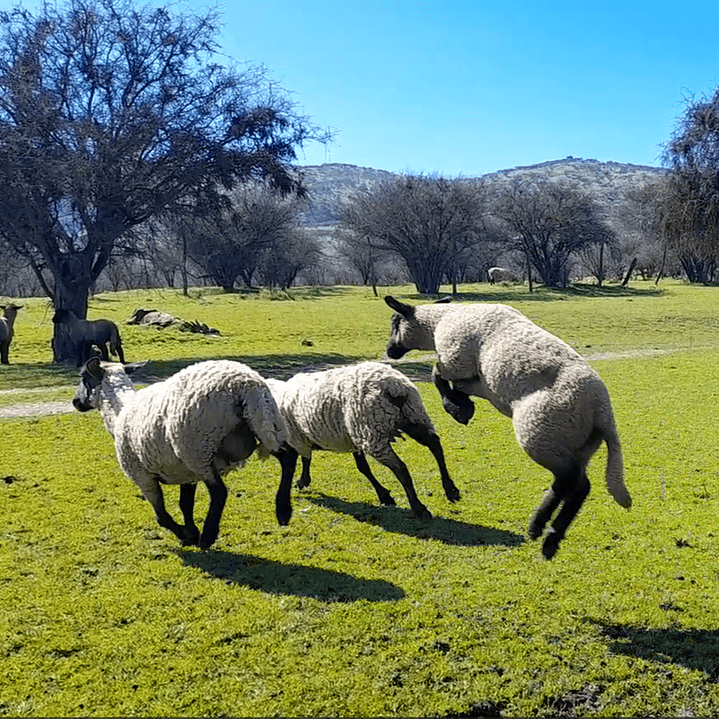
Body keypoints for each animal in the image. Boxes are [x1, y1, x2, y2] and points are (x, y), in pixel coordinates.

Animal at [71, 358, 296, 548]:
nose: (75, 402)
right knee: (288, 457)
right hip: (264, 422)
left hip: (198, 449)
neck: (118, 412)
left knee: (219, 492)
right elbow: (185, 504)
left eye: (83, 378)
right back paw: (283, 510)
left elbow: (161, 516)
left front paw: (187, 535)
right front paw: (190, 531)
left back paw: (208, 536)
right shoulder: (185, 473)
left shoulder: (142, 476)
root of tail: (245, 385)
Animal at [264, 362, 462, 520]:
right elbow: (363, 468)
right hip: (412, 416)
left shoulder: (298, 438)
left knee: (401, 468)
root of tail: (394, 386)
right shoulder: (353, 440)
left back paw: (419, 508)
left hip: (374, 430)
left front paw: (303, 481)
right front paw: (384, 496)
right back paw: (451, 490)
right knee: (435, 445)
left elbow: (306, 459)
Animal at [382, 296, 632, 560]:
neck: (440, 321)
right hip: (578, 445)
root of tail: (602, 411)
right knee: (580, 486)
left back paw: (541, 528)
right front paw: (462, 406)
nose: (389, 351)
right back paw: (548, 536)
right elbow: (451, 383)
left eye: (395, 323)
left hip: (541, 433)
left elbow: (436, 374)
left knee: (568, 479)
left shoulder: (456, 361)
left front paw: (457, 409)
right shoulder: (477, 383)